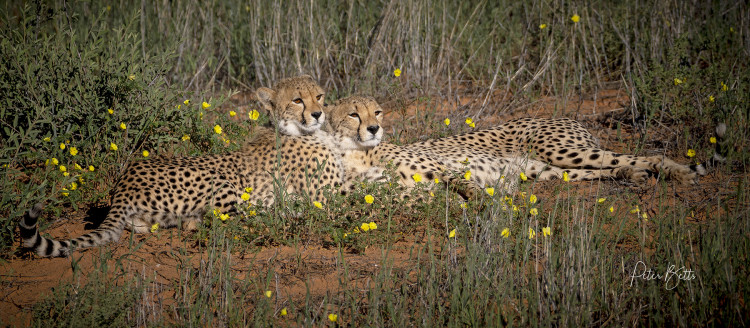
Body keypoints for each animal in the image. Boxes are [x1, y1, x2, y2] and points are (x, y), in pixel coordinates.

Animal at [18, 75, 340, 258]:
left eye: (319, 96)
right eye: (297, 100)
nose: (318, 113)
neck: (295, 130)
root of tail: (123, 183)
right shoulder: (326, 198)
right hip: (219, 179)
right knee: (219, 222)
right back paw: (279, 216)